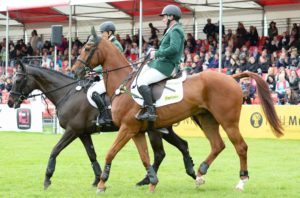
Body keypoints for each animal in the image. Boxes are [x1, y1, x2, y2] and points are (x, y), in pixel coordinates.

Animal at [7, 63, 197, 190]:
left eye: (18, 79)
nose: (9, 102)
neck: (67, 94)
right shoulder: (83, 133)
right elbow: (91, 154)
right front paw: (98, 179)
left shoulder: (72, 130)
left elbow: (55, 150)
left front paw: (47, 178)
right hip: (163, 130)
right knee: (182, 145)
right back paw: (190, 172)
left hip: (154, 131)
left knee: (160, 153)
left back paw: (148, 179)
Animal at [71, 29, 284, 193]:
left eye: (87, 49)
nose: (74, 71)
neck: (123, 85)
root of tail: (231, 77)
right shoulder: (135, 131)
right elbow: (144, 157)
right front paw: (152, 183)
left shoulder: (127, 128)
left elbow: (110, 153)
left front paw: (101, 183)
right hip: (206, 119)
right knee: (217, 145)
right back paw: (200, 173)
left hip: (227, 121)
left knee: (240, 147)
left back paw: (241, 182)